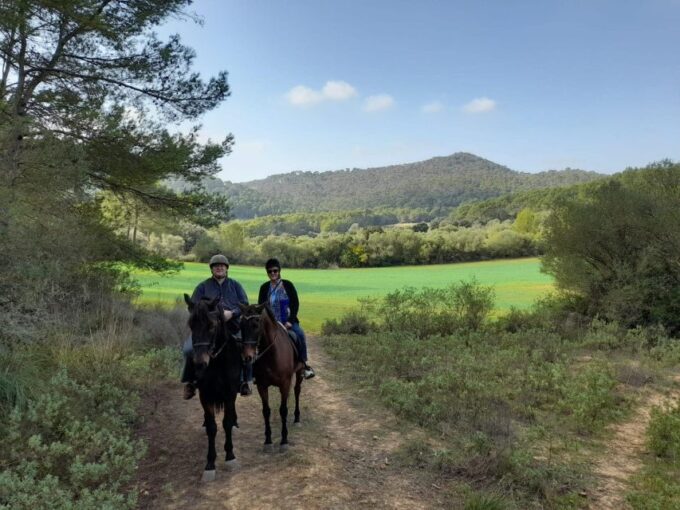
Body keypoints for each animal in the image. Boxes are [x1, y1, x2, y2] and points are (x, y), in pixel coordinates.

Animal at [183, 294, 243, 481]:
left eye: (211, 326)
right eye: (191, 324)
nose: (199, 363)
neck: (217, 363)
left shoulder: (230, 393)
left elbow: (226, 422)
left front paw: (230, 456)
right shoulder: (206, 395)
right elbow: (212, 427)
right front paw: (210, 464)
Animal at [239, 303, 305, 451]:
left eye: (256, 325)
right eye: (241, 325)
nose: (247, 357)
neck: (272, 354)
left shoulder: (285, 384)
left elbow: (283, 410)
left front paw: (284, 441)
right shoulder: (262, 386)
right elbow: (266, 411)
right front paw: (268, 441)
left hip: (299, 372)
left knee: (297, 391)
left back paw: (297, 419)